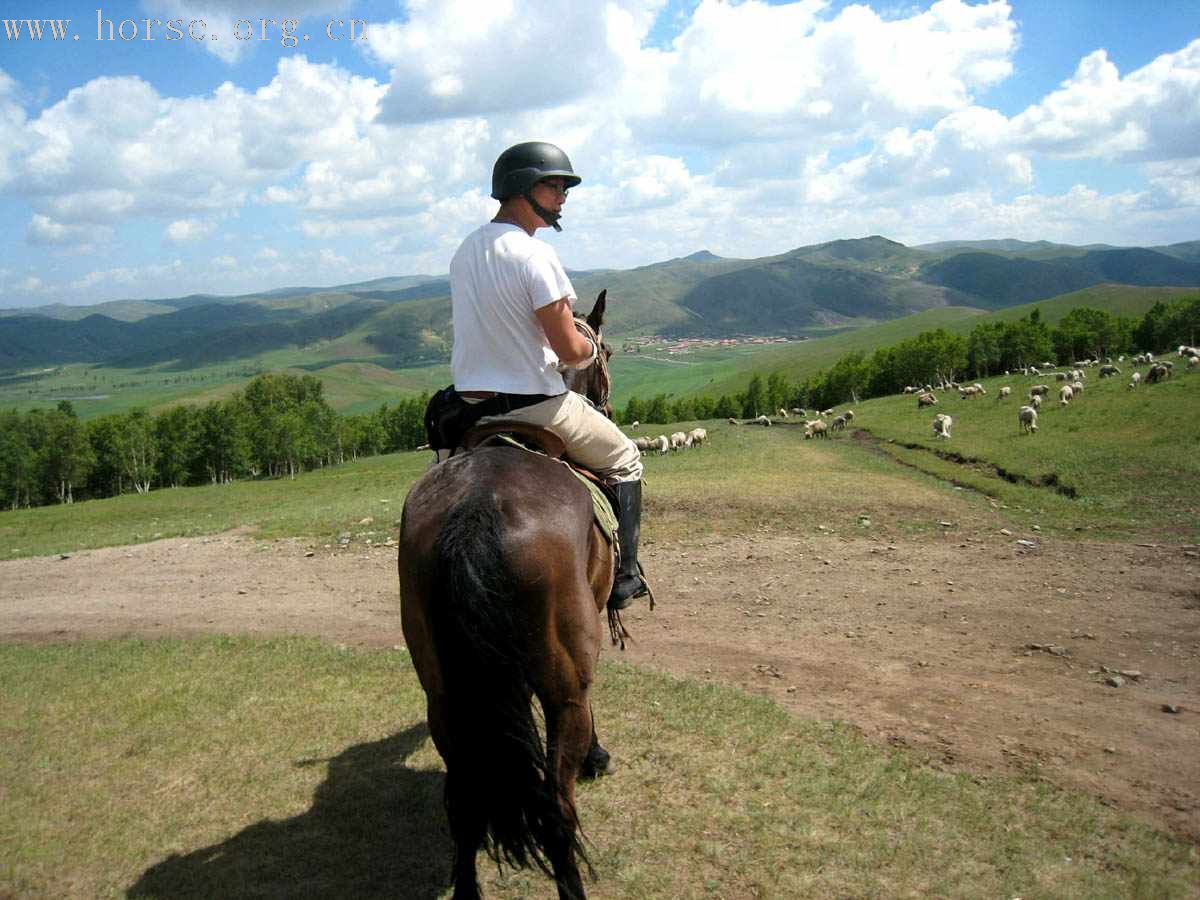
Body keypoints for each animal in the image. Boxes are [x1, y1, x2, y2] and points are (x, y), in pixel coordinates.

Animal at [398, 292, 619, 897]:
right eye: (608, 353)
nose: (607, 402)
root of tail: (477, 509)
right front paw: (598, 756)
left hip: (445, 693)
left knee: (463, 802)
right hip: (561, 687)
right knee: (557, 809)